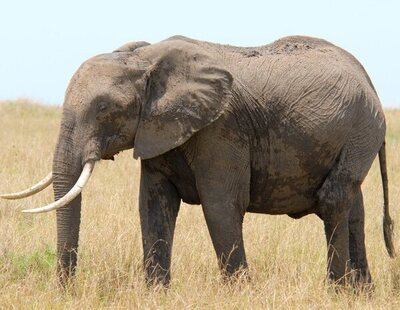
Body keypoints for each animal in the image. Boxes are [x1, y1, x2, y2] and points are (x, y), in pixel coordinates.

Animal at [1, 35, 396, 286]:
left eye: (103, 109)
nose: (67, 288)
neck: (145, 60)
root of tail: (368, 79)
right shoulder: (157, 130)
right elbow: (153, 205)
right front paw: (156, 293)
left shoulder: (220, 130)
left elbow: (220, 205)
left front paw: (240, 294)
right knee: (355, 209)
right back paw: (361, 293)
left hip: (361, 129)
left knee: (334, 200)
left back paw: (337, 289)